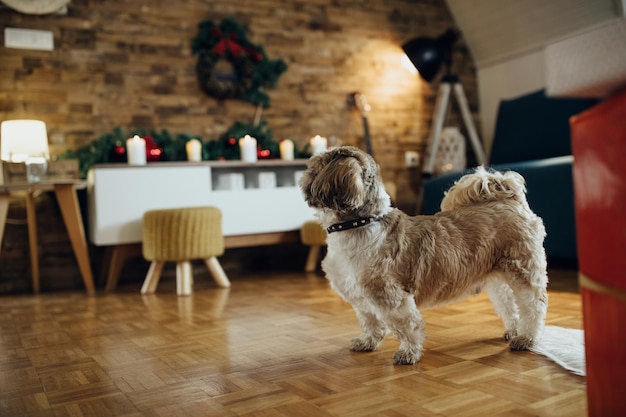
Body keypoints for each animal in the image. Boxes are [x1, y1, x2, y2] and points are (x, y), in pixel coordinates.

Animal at [298, 145, 544, 364]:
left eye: (313, 169)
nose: (301, 176)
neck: (360, 223)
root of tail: (509, 199)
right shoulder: (362, 299)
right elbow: (371, 322)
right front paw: (367, 342)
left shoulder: (391, 297)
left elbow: (407, 326)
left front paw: (408, 353)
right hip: (497, 278)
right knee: (509, 304)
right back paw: (514, 330)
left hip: (523, 270)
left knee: (532, 306)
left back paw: (526, 338)